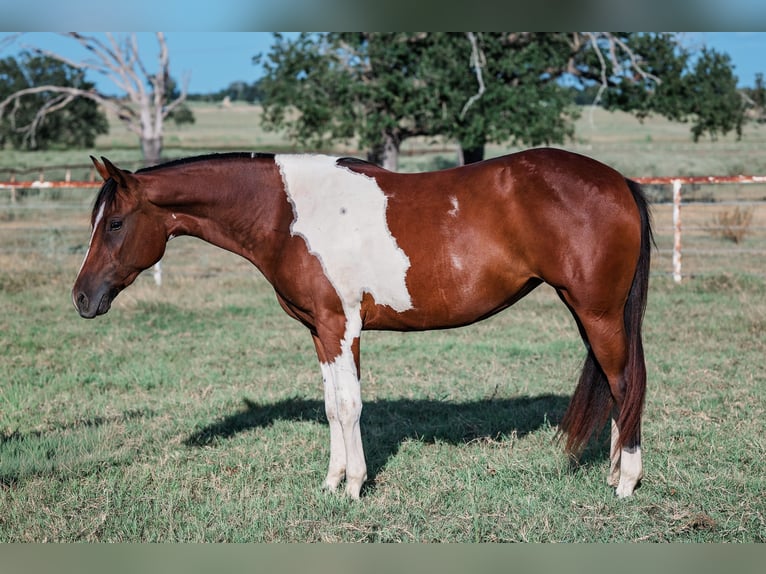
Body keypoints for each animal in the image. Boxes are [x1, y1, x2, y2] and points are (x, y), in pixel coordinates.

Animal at [72, 148, 652, 499]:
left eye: (116, 223)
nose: (81, 298)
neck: (289, 214)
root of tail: (618, 181)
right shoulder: (319, 331)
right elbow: (333, 406)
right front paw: (331, 482)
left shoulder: (341, 327)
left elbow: (350, 406)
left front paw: (354, 485)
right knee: (616, 388)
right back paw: (612, 473)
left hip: (598, 314)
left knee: (626, 385)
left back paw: (626, 483)